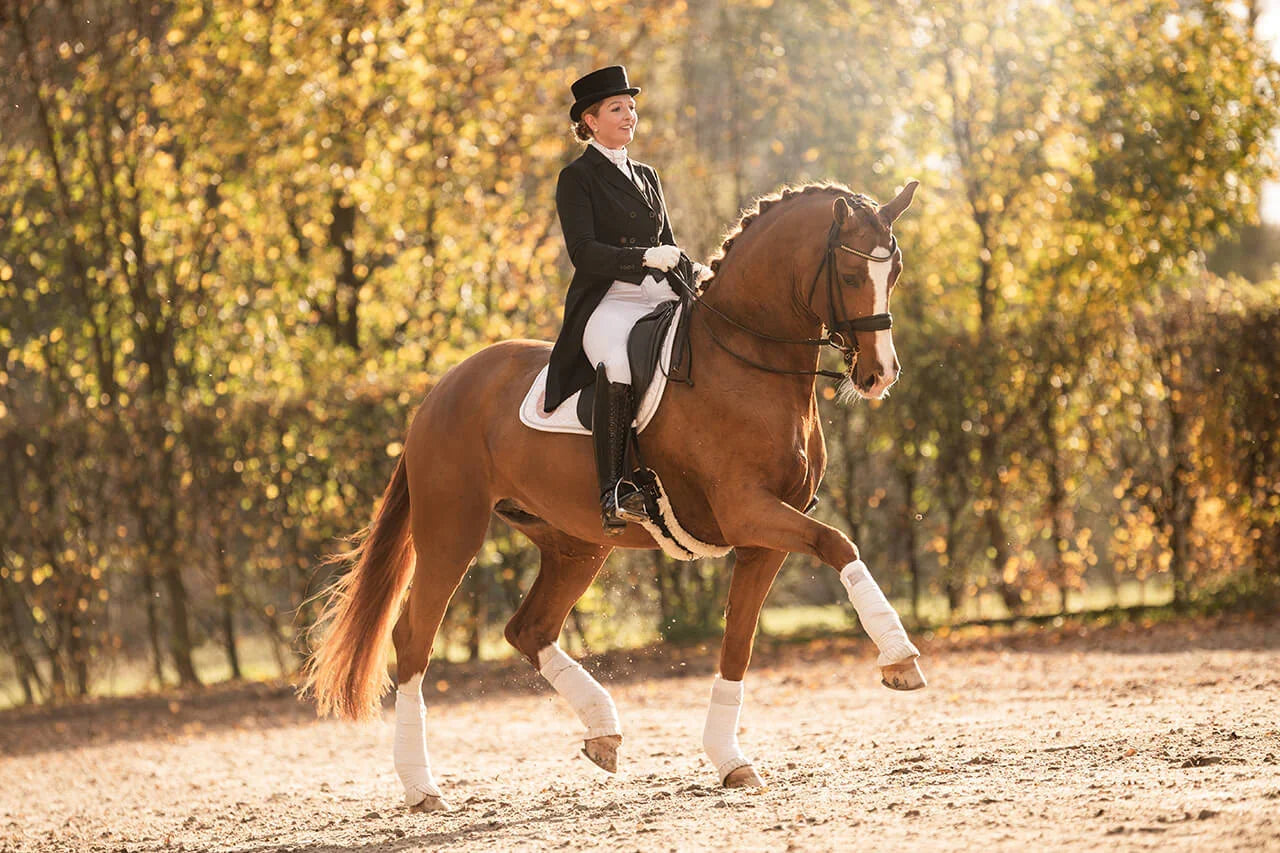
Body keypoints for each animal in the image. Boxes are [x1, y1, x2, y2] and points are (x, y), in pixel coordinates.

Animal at [303, 179, 925, 811]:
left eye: (894, 270)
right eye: (849, 274)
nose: (880, 374)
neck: (745, 362)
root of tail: (441, 390)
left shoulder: (766, 535)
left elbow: (739, 642)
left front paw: (730, 761)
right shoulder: (747, 513)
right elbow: (839, 544)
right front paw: (899, 658)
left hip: (575, 543)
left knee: (528, 629)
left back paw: (602, 730)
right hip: (452, 531)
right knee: (414, 640)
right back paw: (421, 786)